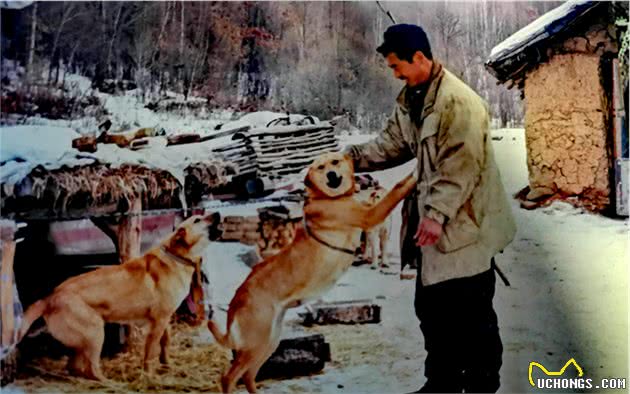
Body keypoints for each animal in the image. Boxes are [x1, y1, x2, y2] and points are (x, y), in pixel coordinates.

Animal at [17, 212, 223, 382]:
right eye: (198, 220)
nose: (218, 213)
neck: (176, 257)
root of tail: (50, 296)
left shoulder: (165, 319)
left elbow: (165, 343)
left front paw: (167, 364)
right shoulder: (158, 322)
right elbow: (150, 352)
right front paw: (148, 376)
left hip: (84, 339)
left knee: (73, 366)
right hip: (95, 332)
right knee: (91, 368)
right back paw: (108, 382)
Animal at [209, 152, 420, 392]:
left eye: (335, 162)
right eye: (320, 167)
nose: (331, 175)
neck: (327, 198)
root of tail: (236, 299)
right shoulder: (370, 216)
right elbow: (398, 188)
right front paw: (415, 172)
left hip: (267, 342)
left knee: (248, 375)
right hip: (256, 343)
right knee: (229, 377)